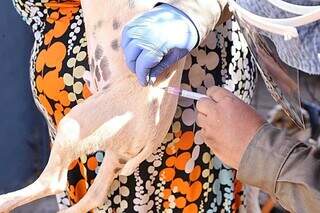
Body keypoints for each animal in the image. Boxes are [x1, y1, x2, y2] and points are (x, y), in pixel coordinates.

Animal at [0, 0, 185, 212]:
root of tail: (156, 133)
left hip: (76, 123)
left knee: (53, 182)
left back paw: (4, 201)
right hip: (115, 149)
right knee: (95, 195)